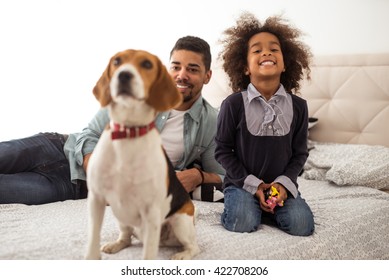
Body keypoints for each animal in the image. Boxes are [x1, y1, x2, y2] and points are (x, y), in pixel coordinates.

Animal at [85, 48, 200, 260]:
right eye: (117, 61)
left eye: (147, 64)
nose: (123, 75)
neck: (128, 132)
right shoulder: (96, 199)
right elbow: (91, 245)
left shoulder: (151, 210)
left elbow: (148, 256)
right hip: (120, 216)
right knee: (127, 238)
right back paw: (116, 245)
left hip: (180, 222)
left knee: (194, 247)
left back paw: (182, 255)